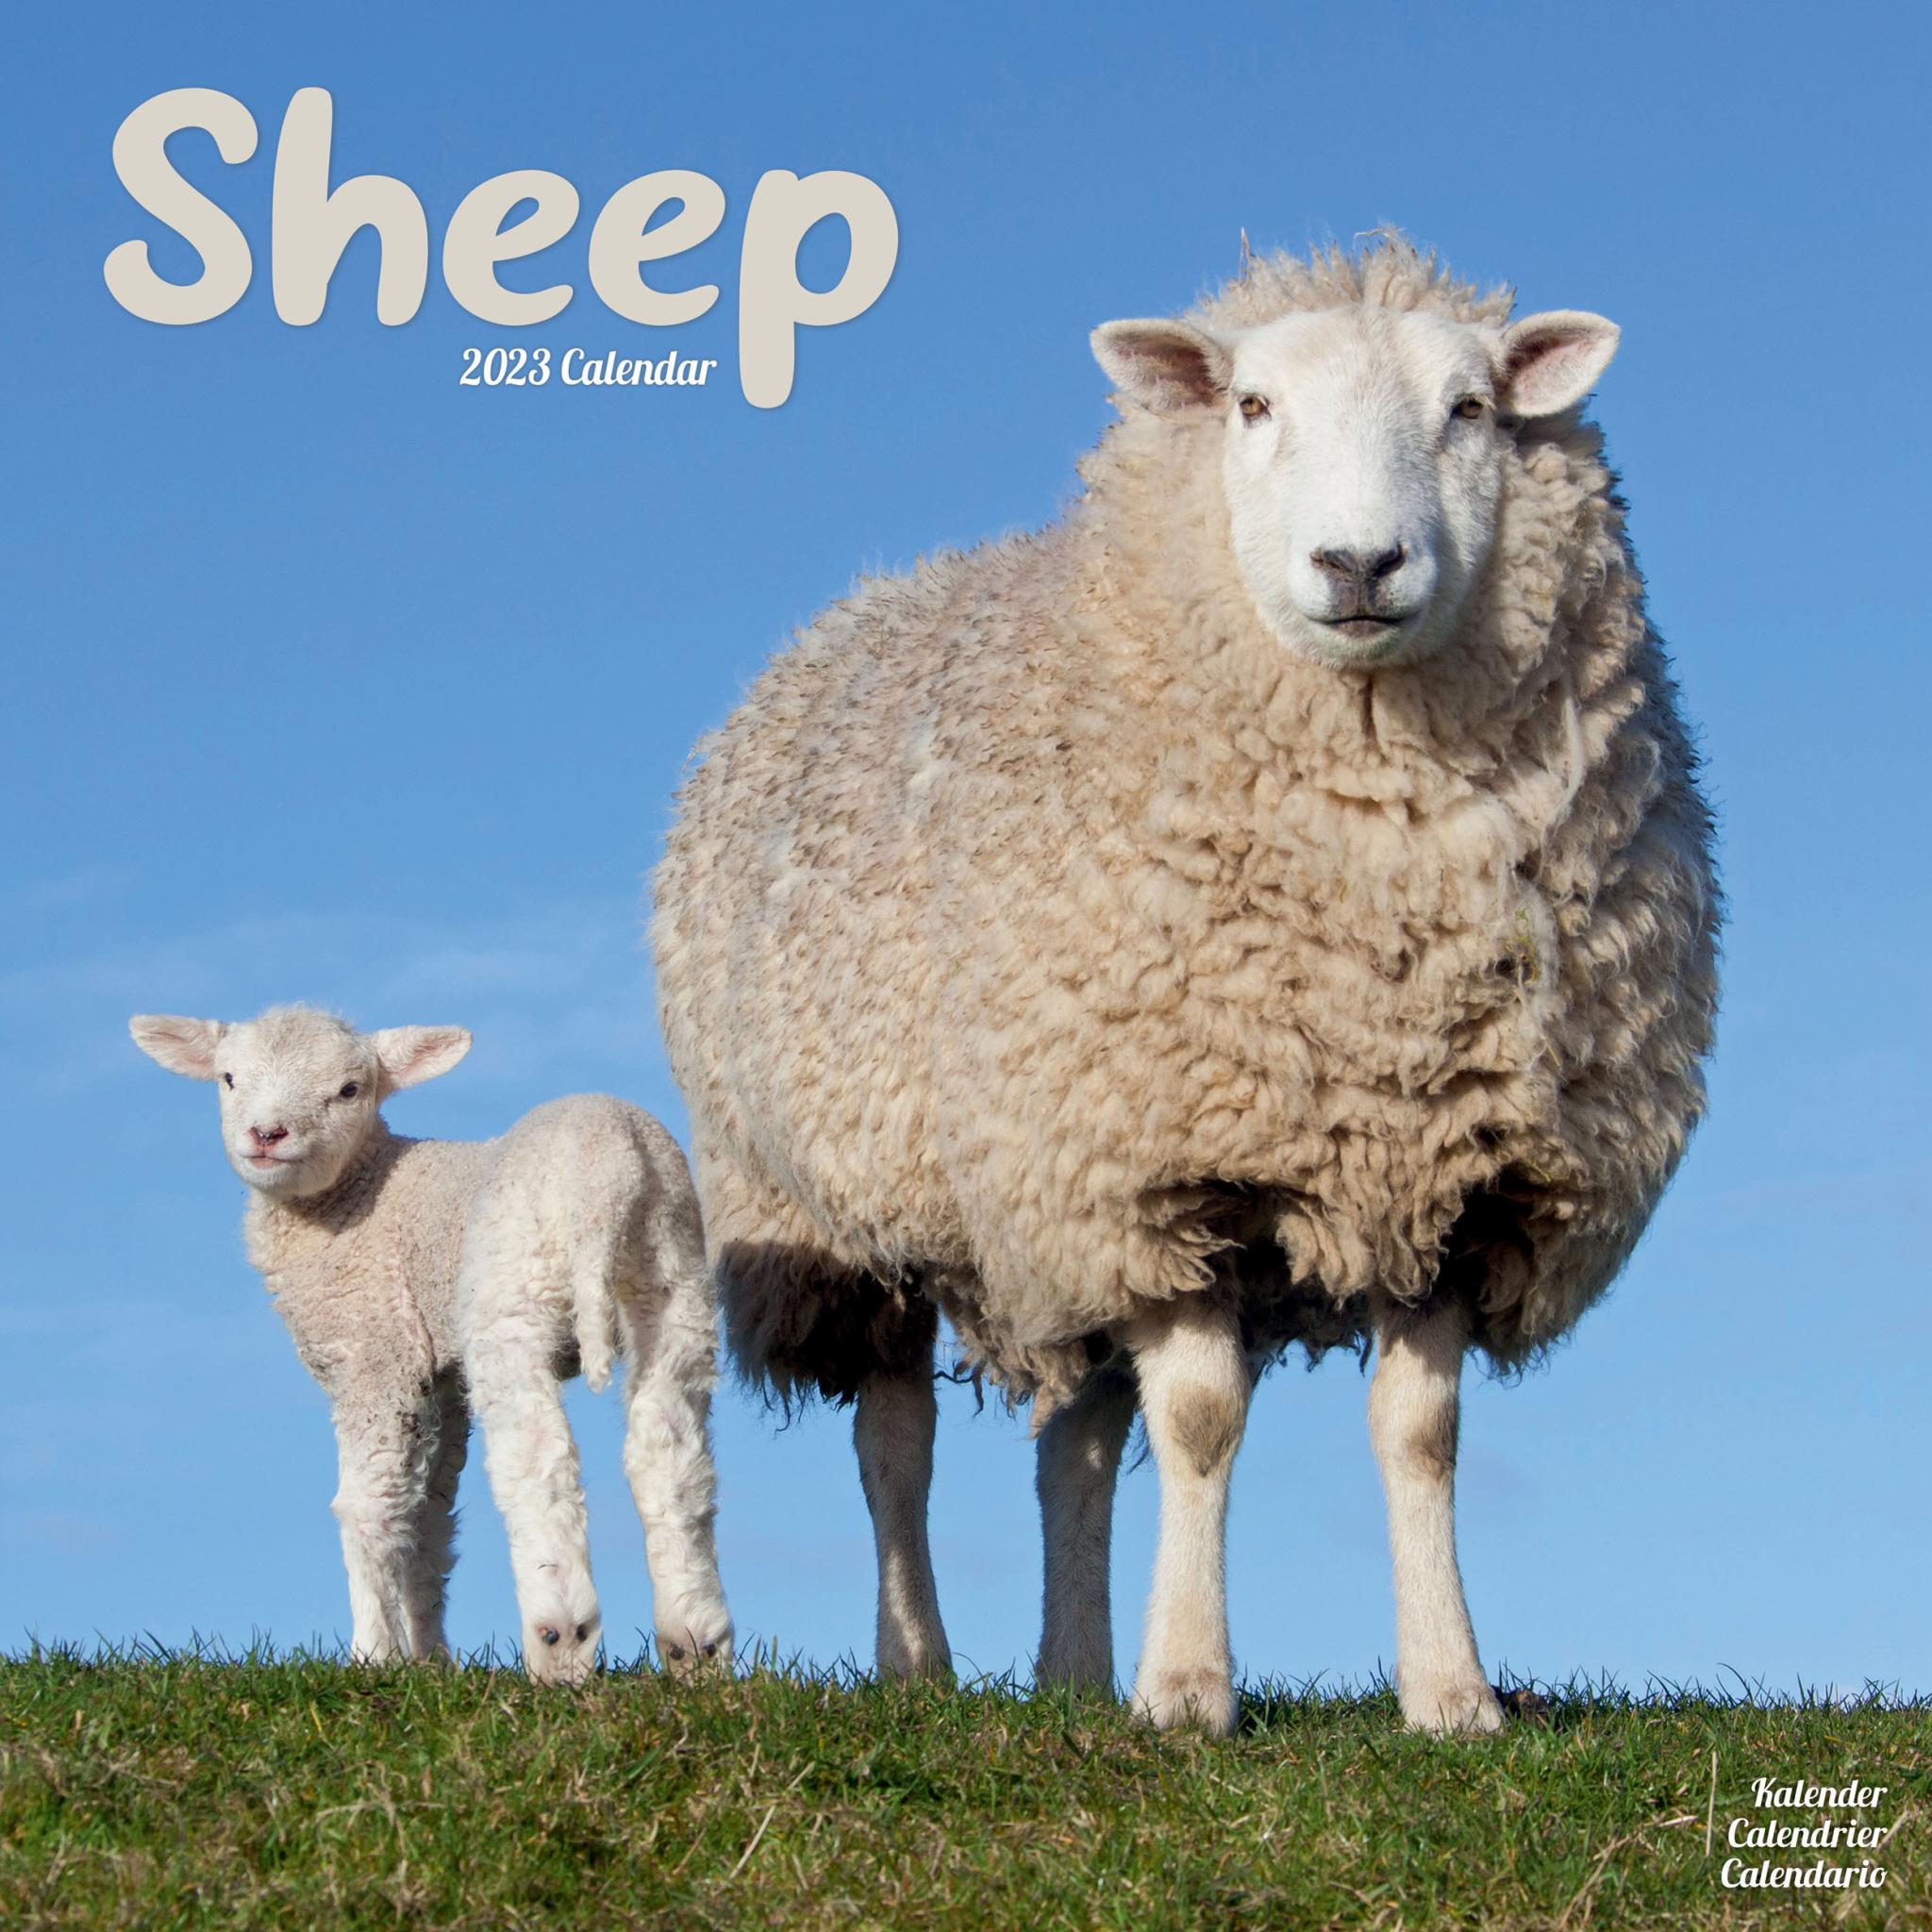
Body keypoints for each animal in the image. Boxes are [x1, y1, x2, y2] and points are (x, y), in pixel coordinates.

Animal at [128, 1004, 733, 1686]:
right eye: (228, 1078)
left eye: (349, 1090)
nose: (267, 1135)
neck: (354, 1194)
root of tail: (610, 1173)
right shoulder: (439, 1378)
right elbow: (429, 1516)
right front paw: (429, 1658)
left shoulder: (376, 1352)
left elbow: (368, 1507)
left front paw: (374, 1656)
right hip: (674, 1286)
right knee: (671, 1455)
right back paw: (696, 1644)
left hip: (512, 1297)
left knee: (539, 1457)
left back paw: (560, 1639)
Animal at [651, 233, 1719, 1736]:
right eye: (1252, 407)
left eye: (1470, 409)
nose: (1358, 560)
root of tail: (861, 598)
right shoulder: (1161, 1170)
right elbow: (1203, 1421)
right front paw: (1187, 1689)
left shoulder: (1451, 1176)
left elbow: (1422, 1433)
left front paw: (1451, 1693)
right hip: (852, 1211)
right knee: (895, 1438)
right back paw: (919, 1666)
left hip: (1043, 1219)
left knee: (1077, 1445)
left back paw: (1070, 1670)